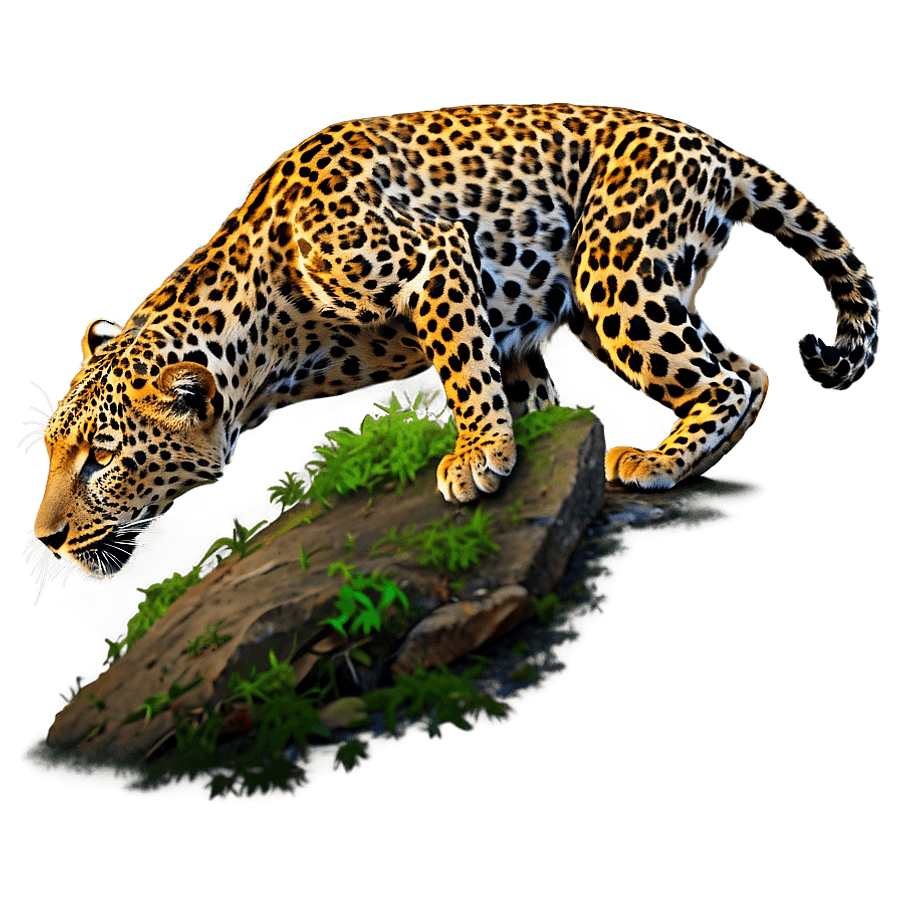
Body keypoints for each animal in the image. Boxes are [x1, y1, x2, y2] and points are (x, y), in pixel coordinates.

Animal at [21, 103, 879, 600]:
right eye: (54, 453)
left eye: (101, 459)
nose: (46, 539)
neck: (270, 333)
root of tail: (710, 143)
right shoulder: (512, 323)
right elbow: (518, 387)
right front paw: (523, 449)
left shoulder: (434, 255)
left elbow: (463, 369)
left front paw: (477, 459)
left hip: (617, 275)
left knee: (740, 374)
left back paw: (655, 461)